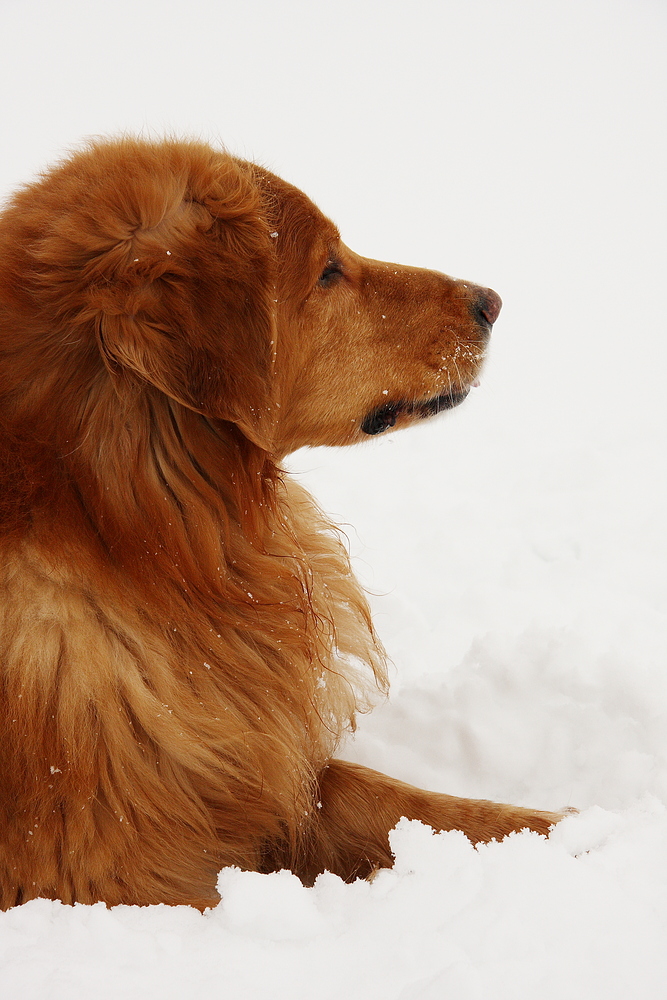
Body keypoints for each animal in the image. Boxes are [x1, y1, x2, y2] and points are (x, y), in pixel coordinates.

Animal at [0, 141, 564, 916]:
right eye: (327, 269)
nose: (492, 301)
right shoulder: (107, 882)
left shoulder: (257, 777)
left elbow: (392, 799)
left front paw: (574, 830)